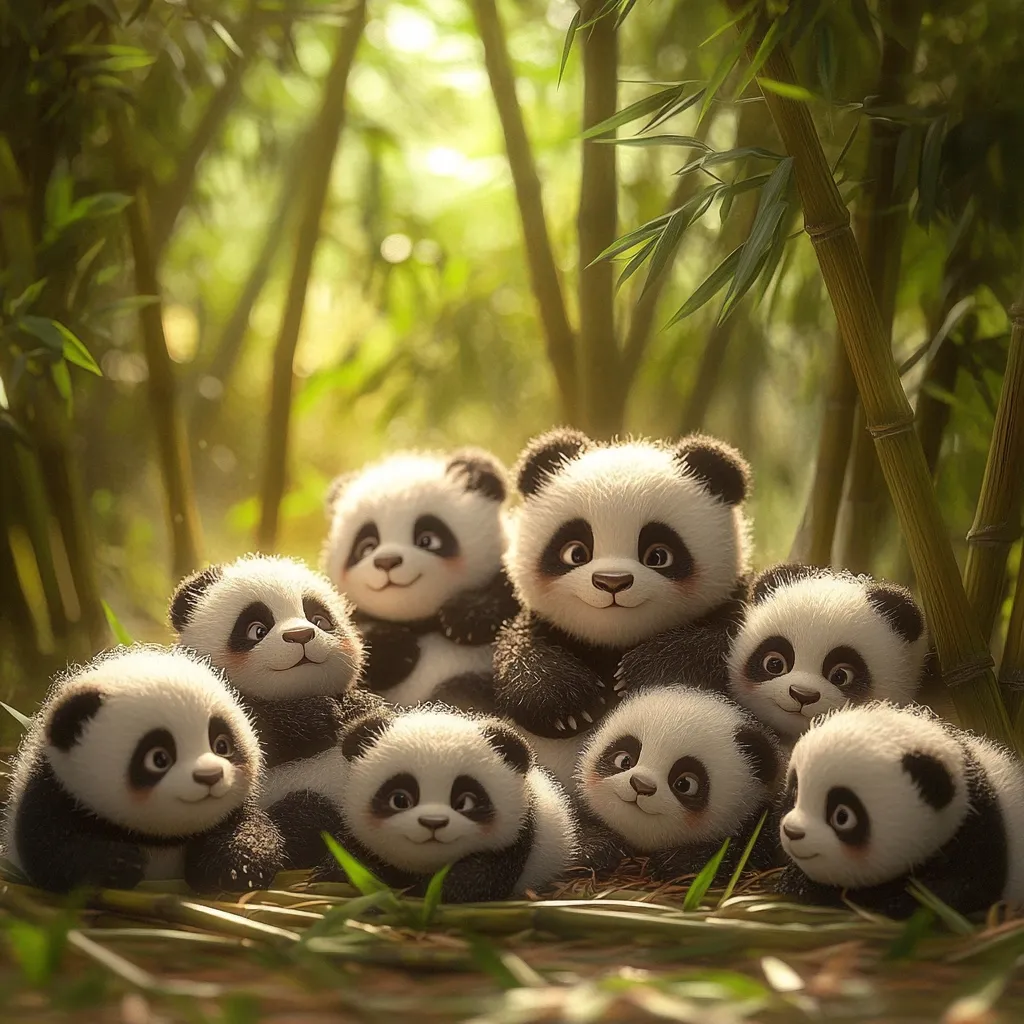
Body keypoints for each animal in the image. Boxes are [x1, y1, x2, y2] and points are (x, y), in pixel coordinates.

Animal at [1, 646, 284, 894]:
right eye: (158, 758)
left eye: (221, 745)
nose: (209, 776)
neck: (162, 837)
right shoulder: (53, 792)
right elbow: (49, 851)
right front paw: (118, 865)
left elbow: (252, 827)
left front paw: (235, 869)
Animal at [312, 707, 578, 902]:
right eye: (400, 799)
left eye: (464, 801)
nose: (433, 822)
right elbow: (352, 857)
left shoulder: (518, 835)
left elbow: (478, 880)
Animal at [321, 449, 519, 710]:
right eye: (367, 547)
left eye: (427, 540)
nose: (387, 561)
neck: (421, 622)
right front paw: (396, 649)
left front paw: (466, 618)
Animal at [495, 428, 752, 787]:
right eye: (576, 552)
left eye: (658, 555)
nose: (611, 582)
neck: (612, 643)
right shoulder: (542, 625)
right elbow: (518, 655)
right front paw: (568, 705)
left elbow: (725, 646)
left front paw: (642, 673)